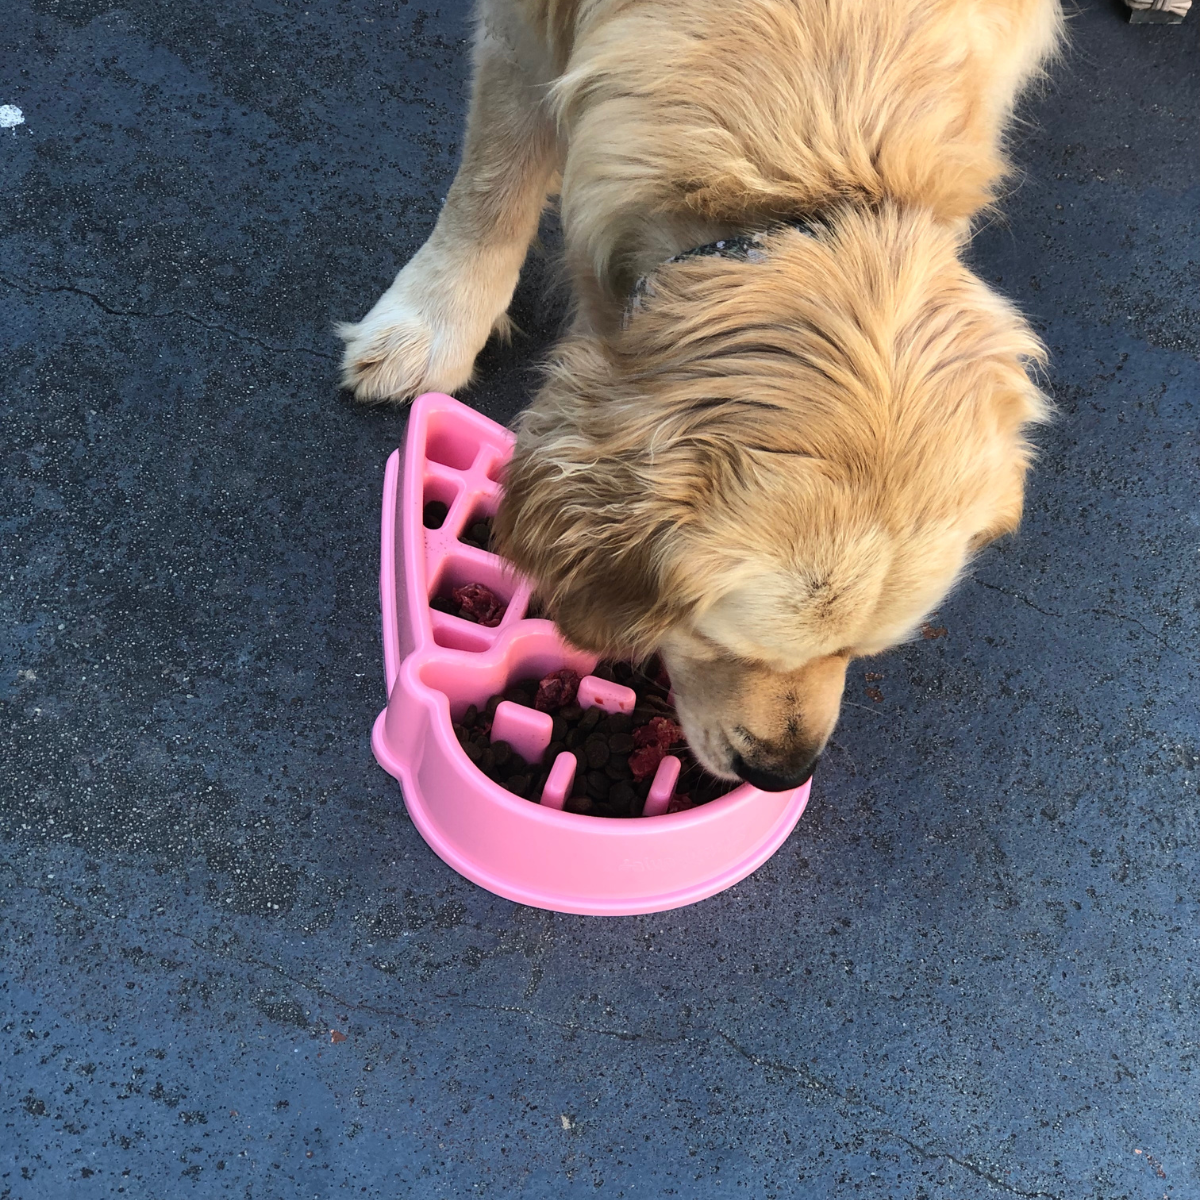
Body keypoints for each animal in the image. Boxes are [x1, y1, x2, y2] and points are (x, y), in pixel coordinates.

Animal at [338, 0, 1060, 792]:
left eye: (858, 654)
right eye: (711, 634)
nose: (782, 775)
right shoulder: (525, 32)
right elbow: (493, 178)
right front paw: (433, 320)